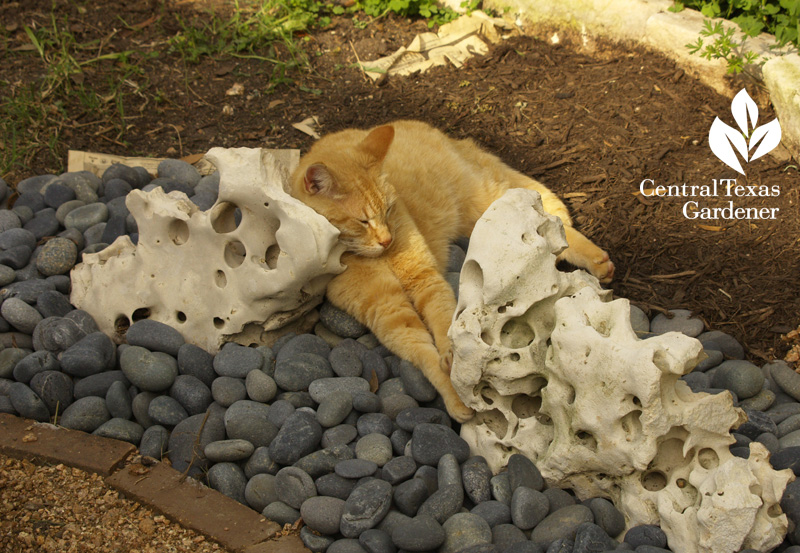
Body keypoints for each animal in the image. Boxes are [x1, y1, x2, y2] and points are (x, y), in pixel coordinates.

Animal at [290, 121, 616, 420]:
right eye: (363, 221)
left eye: (389, 210)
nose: (387, 239)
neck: (375, 255)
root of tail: (439, 132)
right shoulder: (388, 311)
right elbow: (422, 351)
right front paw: (454, 394)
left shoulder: (425, 280)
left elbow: (443, 319)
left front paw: (456, 361)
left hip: (487, 203)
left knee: (551, 225)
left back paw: (597, 260)